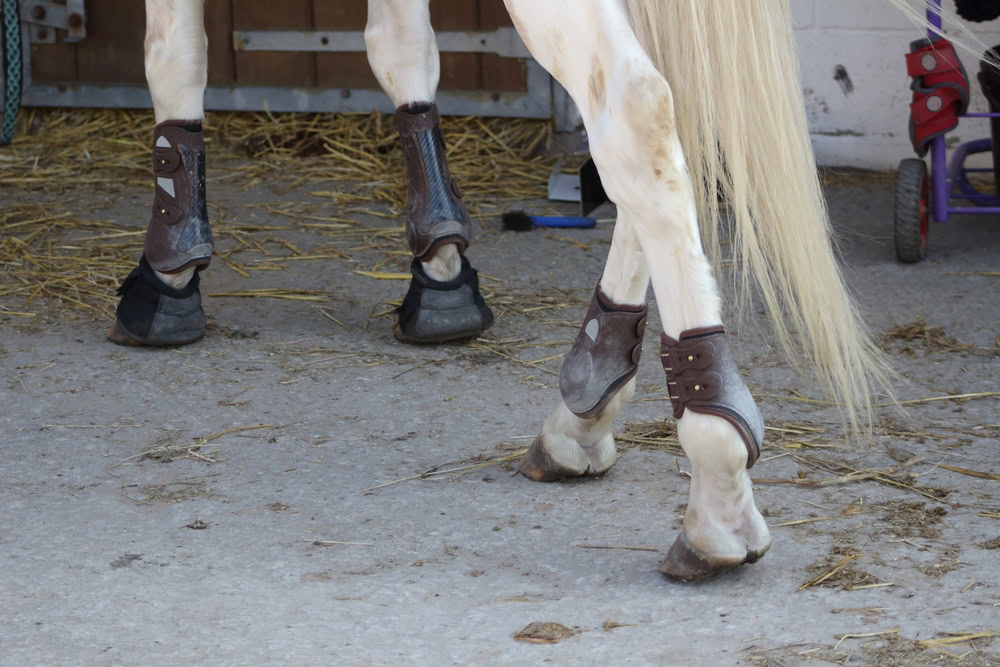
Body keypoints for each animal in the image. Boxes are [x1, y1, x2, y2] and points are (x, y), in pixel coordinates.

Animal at [113, 0, 932, 580]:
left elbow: (173, 51)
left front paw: (168, 272)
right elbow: (402, 44)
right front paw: (441, 269)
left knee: (637, 105)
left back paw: (716, 498)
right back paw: (585, 407)